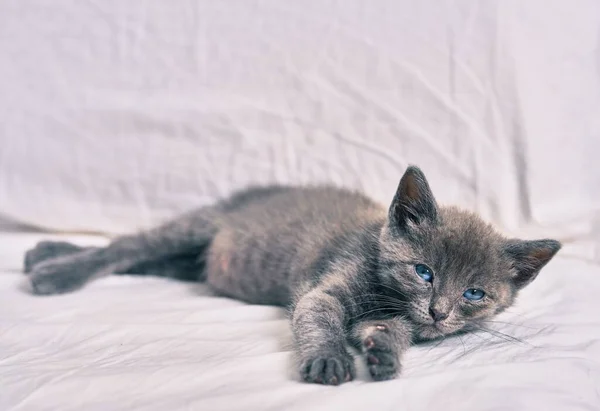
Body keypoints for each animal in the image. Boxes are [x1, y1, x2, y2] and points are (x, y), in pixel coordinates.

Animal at [22, 166, 556, 384]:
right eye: (424, 272)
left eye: (474, 293)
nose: (439, 311)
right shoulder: (327, 285)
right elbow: (318, 317)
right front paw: (329, 360)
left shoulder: (396, 316)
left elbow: (389, 330)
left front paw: (381, 353)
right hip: (200, 224)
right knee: (127, 247)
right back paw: (54, 270)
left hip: (189, 259)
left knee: (145, 258)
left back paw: (45, 254)